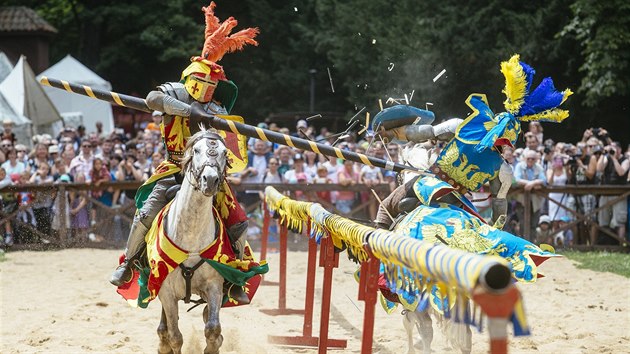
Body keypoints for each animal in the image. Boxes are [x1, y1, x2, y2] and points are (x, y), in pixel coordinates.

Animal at [157, 130, 231, 354]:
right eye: (196, 150)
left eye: (225, 153)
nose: (210, 180)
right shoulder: (167, 292)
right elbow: (175, 337)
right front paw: (168, 341)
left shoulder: (214, 285)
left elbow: (213, 329)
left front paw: (214, 346)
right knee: (166, 327)